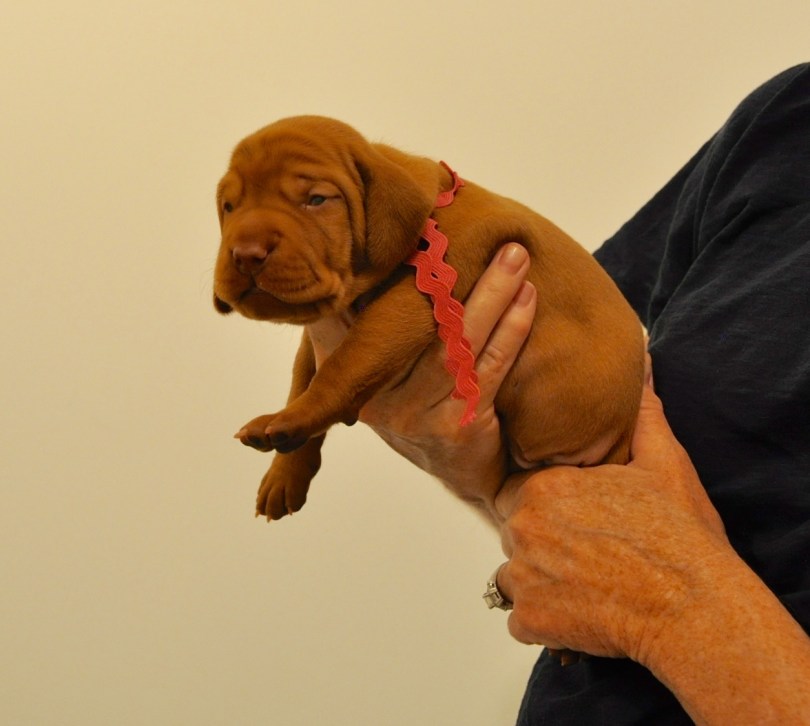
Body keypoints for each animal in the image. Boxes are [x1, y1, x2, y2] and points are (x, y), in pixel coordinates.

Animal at [213, 116, 645, 521]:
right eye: (229, 207)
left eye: (317, 199)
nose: (246, 254)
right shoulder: (319, 331)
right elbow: (302, 378)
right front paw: (284, 475)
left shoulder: (419, 295)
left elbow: (343, 365)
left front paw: (289, 421)